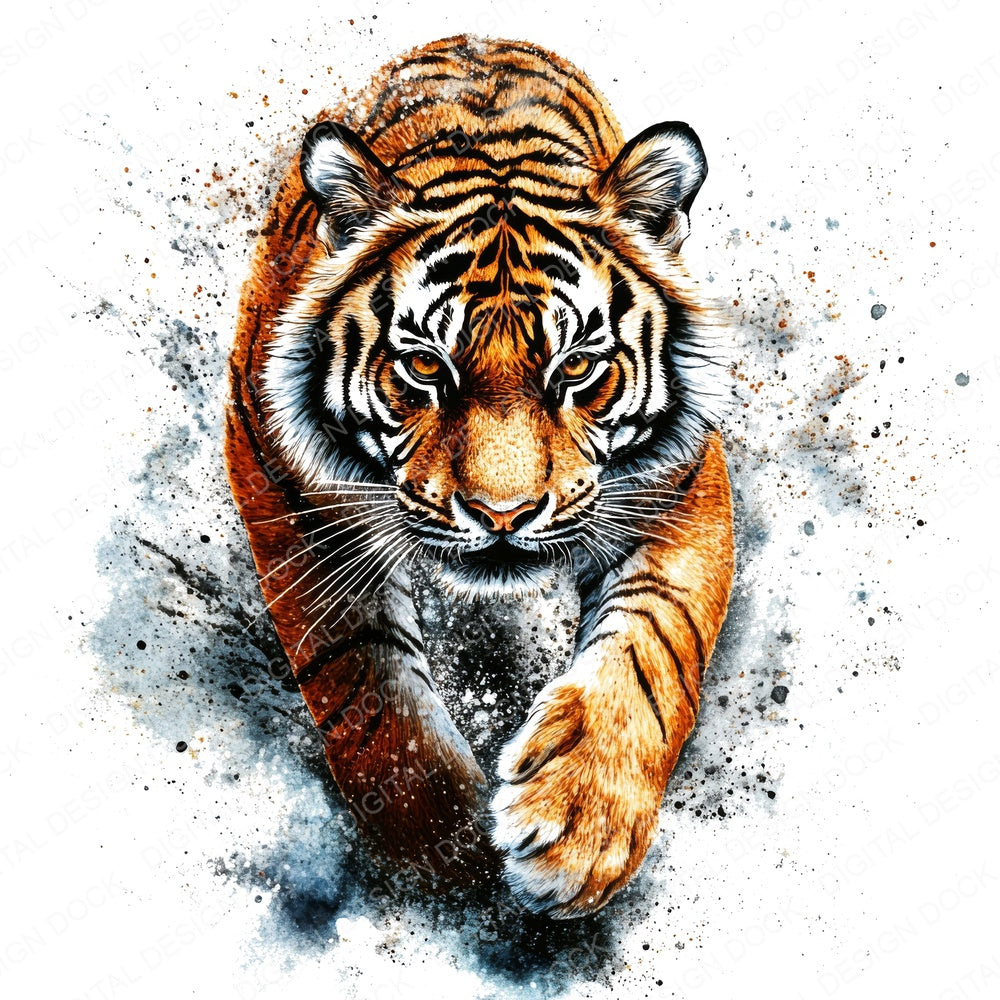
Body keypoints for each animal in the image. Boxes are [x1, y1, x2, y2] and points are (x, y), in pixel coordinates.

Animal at [225, 34, 733, 919]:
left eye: (577, 368)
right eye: (426, 366)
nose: (502, 514)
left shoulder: (678, 487)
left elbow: (653, 642)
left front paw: (580, 826)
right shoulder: (291, 493)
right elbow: (366, 680)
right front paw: (450, 858)